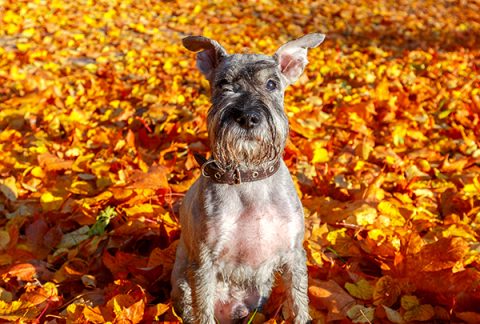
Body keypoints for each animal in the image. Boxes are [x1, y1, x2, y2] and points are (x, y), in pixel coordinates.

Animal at [171, 33, 324, 324]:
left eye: (272, 83)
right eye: (223, 84)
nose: (247, 117)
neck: (251, 176)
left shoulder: (294, 255)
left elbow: (299, 303)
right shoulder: (205, 263)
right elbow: (203, 311)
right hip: (184, 287)